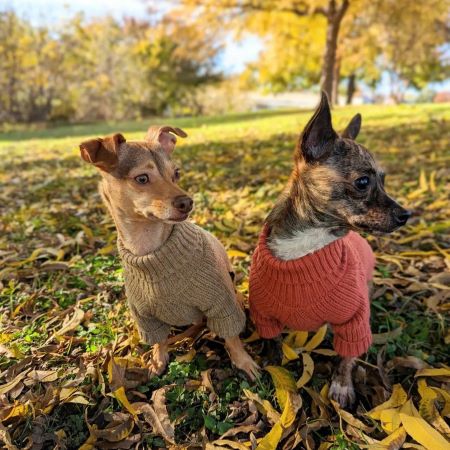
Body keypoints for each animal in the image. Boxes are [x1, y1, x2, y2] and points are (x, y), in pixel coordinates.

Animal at [79, 125, 258, 380]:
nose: (187, 202)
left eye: (176, 174)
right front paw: (158, 359)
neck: (150, 249)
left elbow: (232, 337)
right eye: (142, 178)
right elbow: (159, 340)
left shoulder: (222, 304)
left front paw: (243, 361)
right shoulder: (146, 319)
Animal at [250, 93, 412, 410]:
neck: (308, 245)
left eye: (384, 180)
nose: (405, 215)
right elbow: (272, 343)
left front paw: (342, 384)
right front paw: (274, 369)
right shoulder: (264, 317)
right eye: (363, 182)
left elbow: (347, 356)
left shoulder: (354, 321)